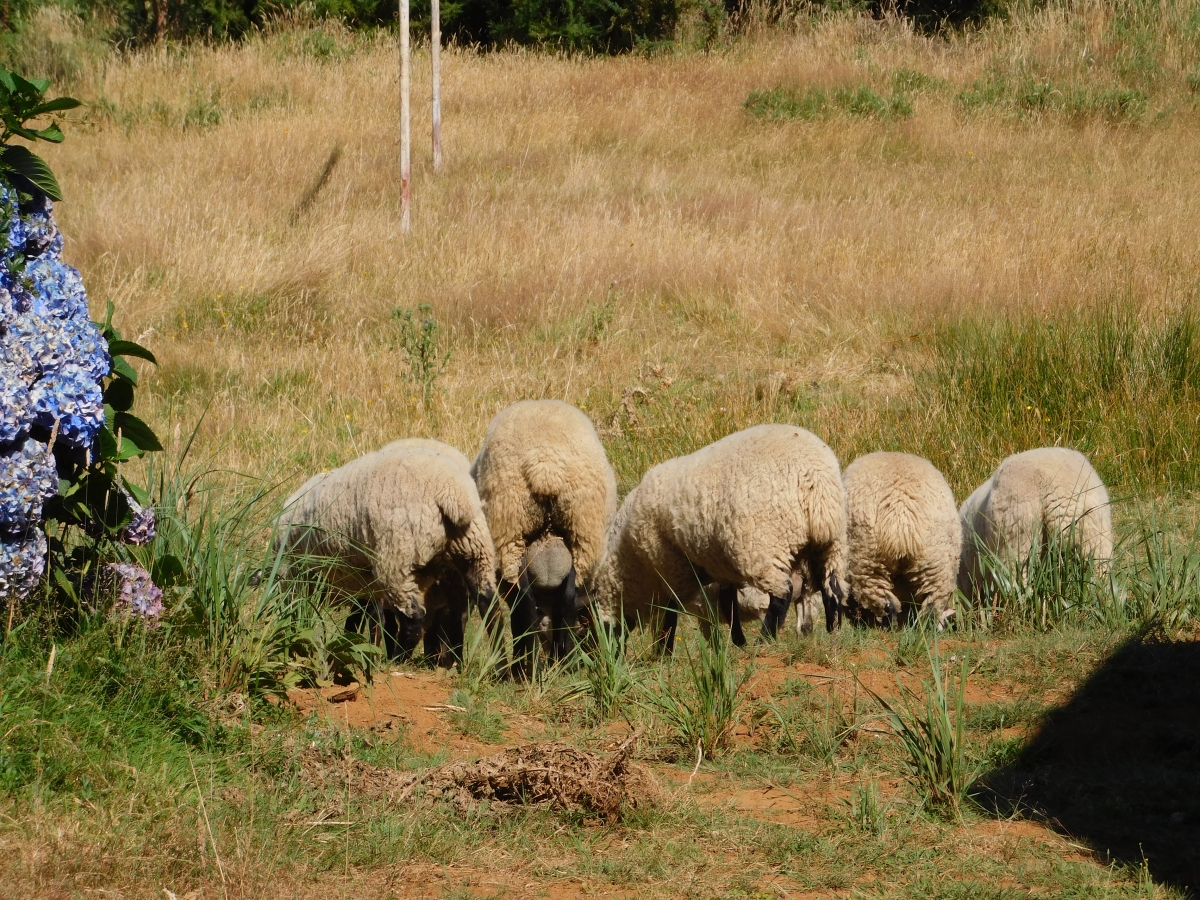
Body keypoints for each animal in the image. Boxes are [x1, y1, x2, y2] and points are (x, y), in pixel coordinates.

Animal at [274, 441, 494, 667]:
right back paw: (474, 662)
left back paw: (399, 659)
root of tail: (454, 495)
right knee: (483, 606)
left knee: (415, 619)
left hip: (397, 558)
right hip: (473, 548)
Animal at [470, 400, 619, 676]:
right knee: (564, 601)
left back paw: (532, 668)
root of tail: (546, 466)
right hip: (576, 536)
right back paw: (557, 664)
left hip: (515, 535)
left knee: (529, 605)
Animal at [588, 422, 844, 648]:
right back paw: (834, 630)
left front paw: (662, 652)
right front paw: (738, 642)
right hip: (829, 542)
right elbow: (727, 602)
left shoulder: (671, 571)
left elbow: (671, 615)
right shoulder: (722, 567)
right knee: (831, 587)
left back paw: (765, 639)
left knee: (782, 594)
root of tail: (816, 476)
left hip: (766, 545)